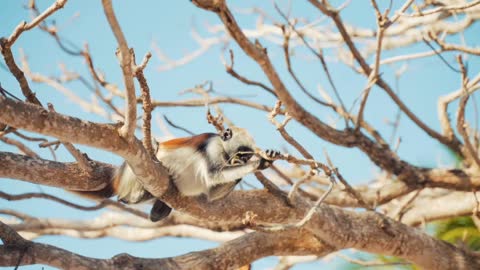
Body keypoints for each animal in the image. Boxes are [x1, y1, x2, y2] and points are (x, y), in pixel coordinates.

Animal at [78, 126, 278, 221]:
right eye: (242, 154)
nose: (242, 162)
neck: (224, 153)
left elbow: (212, 193)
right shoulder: (213, 144)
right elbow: (213, 174)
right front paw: (261, 162)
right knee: (153, 144)